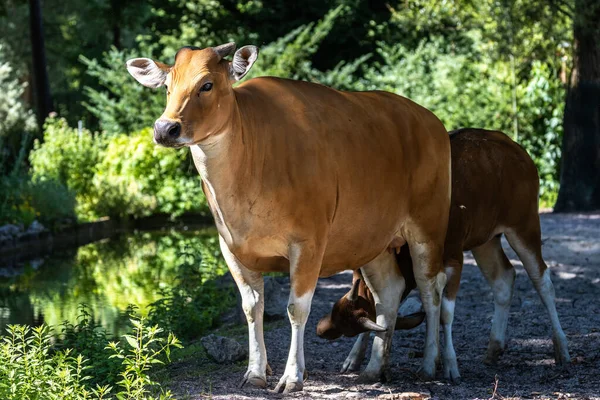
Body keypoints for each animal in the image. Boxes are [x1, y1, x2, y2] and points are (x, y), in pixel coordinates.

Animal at [129, 43, 452, 390]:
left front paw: (292, 376)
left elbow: (297, 309)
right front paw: (256, 372)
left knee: (431, 287)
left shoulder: (309, 243)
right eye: (166, 86)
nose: (165, 128)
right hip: (371, 239)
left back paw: (431, 363)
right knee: (390, 292)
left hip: (428, 227)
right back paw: (374, 368)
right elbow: (251, 307)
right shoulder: (231, 248)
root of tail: (432, 122)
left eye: (207, 84)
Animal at [316, 128, 568, 382]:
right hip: (485, 240)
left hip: (524, 225)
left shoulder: (454, 256)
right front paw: (353, 359)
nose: (321, 329)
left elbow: (444, 311)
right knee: (504, 278)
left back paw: (562, 349)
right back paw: (494, 349)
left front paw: (448, 365)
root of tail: (519, 152)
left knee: (542, 280)